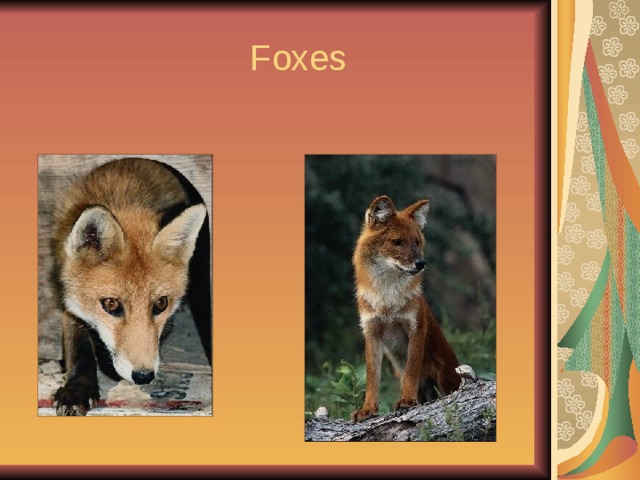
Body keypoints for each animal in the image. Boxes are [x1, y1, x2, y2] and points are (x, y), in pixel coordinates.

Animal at [50, 157, 207, 416]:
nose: (143, 376)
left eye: (161, 304)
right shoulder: (69, 299)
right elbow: (78, 347)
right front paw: (78, 388)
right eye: (111, 304)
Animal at [352, 195, 462, 422]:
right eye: (397, 242)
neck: (387, 297)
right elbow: (372, 376)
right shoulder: (372, 333)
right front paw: (367, 409)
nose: (421, 263)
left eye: (417, 242)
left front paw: (407, 400)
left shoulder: (416, 329)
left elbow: (411, 369)